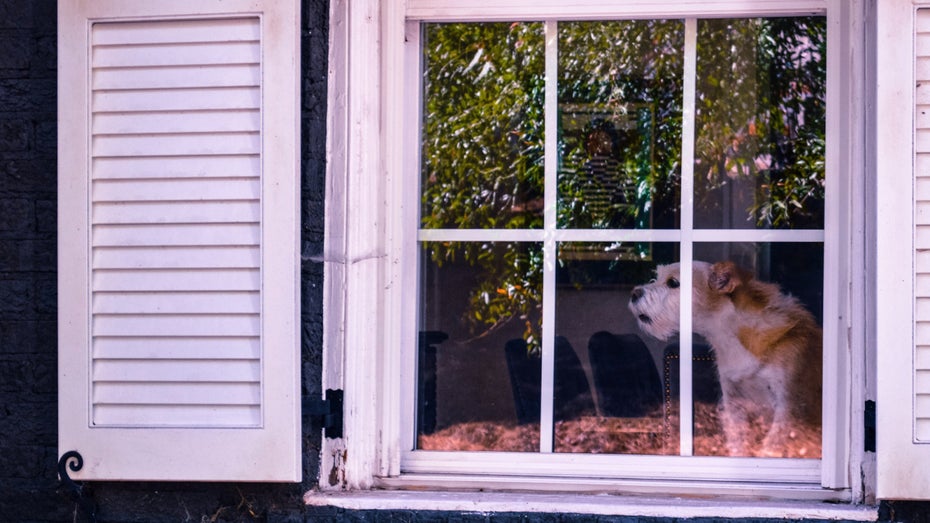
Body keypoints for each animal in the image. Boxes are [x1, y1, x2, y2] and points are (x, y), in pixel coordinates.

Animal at [624, 260, 820, 456]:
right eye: (656, 277)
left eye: (673, 283)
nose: (634, 293)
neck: (731, 337)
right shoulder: (734, 406)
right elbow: (739, 447)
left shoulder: (789, 407)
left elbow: (770, 447)